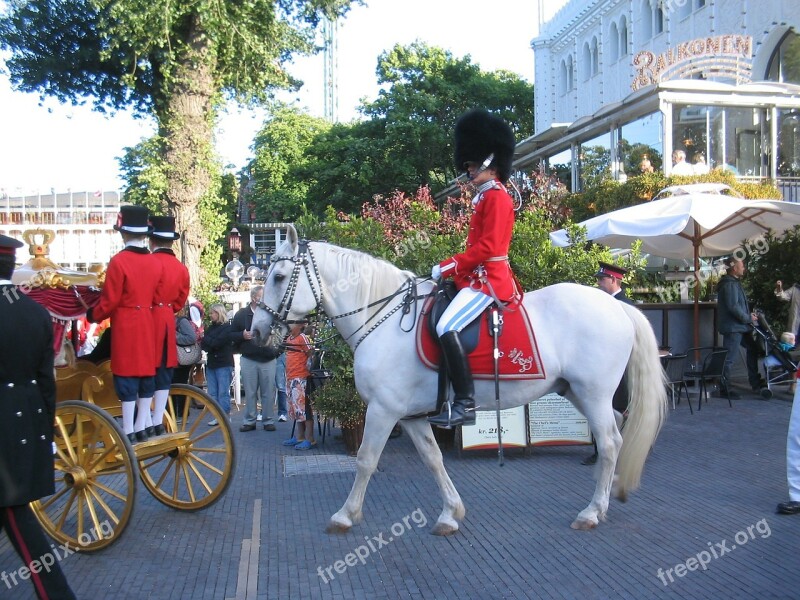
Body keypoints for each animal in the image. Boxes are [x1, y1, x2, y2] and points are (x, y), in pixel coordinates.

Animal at [253, 227, 664, 532]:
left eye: (279, 277)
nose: (255, 332)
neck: (383, 317)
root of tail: (617, 306)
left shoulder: (383, 411)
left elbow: (366, 459)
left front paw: (345, 514)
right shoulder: (411, 416)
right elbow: (433, 459)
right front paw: (451, 513)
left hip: (593, 394)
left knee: (609, 442)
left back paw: (591, 512)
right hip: (578, 393)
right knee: (615, 432)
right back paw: (604, 502)